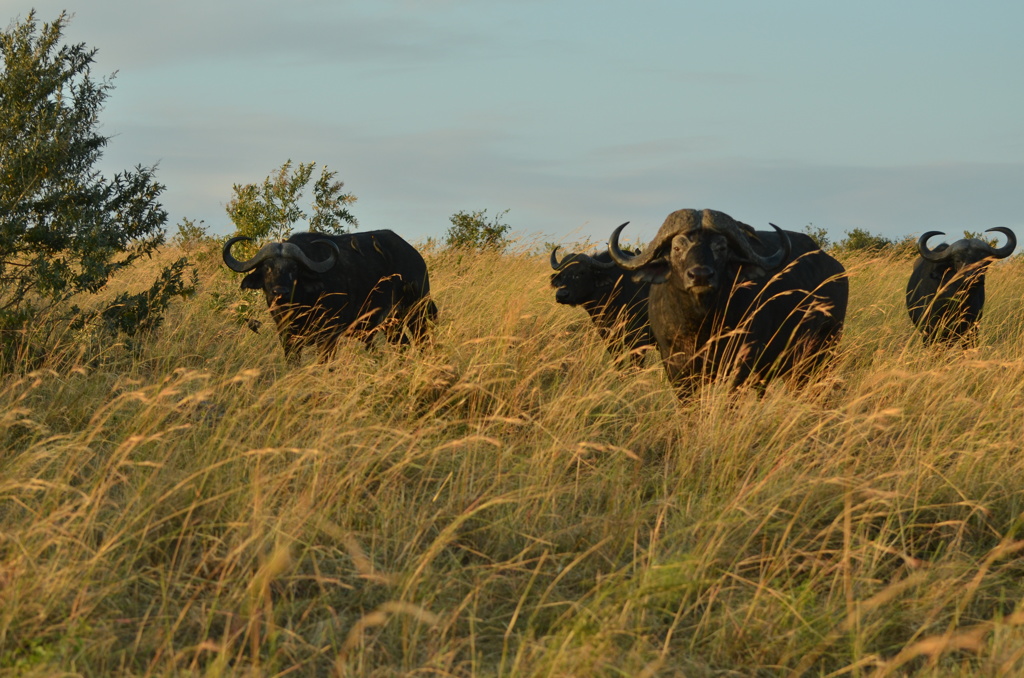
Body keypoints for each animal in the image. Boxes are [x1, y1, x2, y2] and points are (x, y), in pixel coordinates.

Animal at [224, 231, 436, 364]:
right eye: (267, 268)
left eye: (294, 269)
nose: (280, 291)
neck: (302, 304)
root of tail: (416, 258)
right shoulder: (287, 336)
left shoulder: (328, 336)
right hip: (392, 325)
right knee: (403, 346)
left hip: (418, 312)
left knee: (424, 340)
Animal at [606, 209, 847, 395]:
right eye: (677, 247)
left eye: (721, 248)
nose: (701, 276)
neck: (700, 325)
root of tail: (836, 270)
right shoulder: (675, 365)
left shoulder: (741, 365)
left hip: (822, 352)